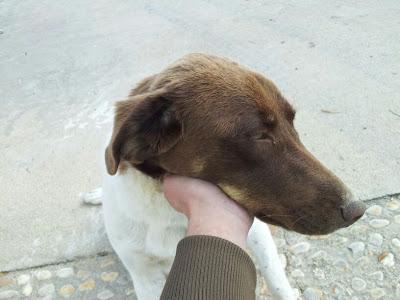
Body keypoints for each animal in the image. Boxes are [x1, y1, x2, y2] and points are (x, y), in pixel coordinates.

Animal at [85, 54, 366, 300]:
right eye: (260, 135)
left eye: (292, 122)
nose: (357, 209)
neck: (171, 212)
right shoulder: (145, 276)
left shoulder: (257, 233)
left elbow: (278, 283)